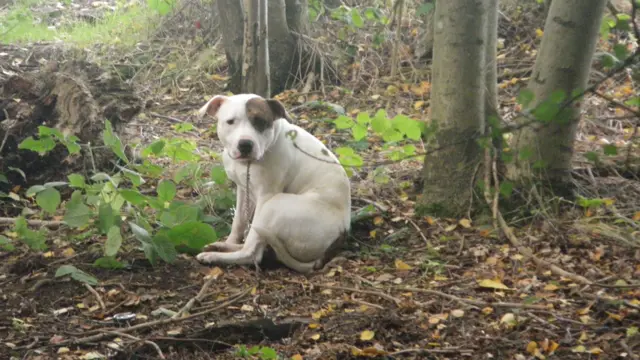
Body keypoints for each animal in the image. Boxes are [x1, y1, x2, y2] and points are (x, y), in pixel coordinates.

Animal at [196, 93, 352, 272]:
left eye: (261, 121)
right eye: (230, 121)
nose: (245, 144)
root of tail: (341, 233)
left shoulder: (266, 194)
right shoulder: (243, 190)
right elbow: (238, 222)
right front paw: (229, 241)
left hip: (273, 205)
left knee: (252, 253)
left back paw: (214, 256)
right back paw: (222, 246)